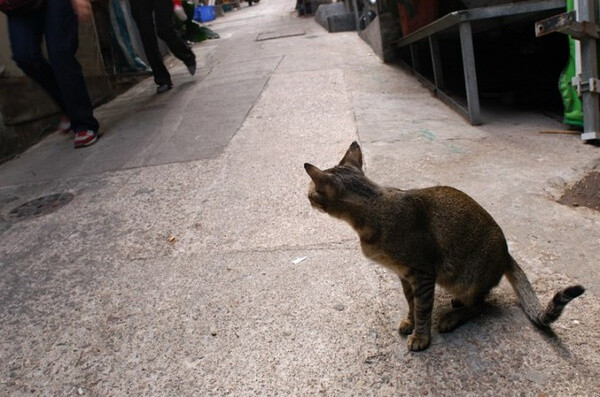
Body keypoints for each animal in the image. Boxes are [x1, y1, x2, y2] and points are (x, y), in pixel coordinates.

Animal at [302, 142, 584, 350]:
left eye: (310, 191)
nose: (307, 198)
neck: (374, 207)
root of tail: (506, 253)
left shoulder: (423, 272)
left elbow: (424, 307)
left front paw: (421, 337)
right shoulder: (405, 275)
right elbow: (412, 303)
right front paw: (410, 321)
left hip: (467, 277)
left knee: (481, 305)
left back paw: (452, 317)